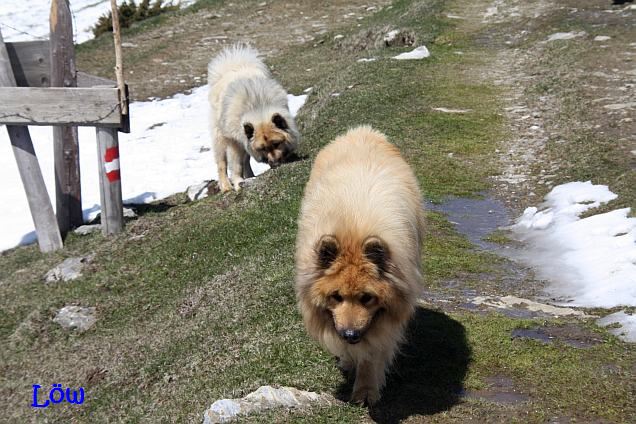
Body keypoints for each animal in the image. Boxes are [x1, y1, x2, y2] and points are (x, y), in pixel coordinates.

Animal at [296, 125, 424, 404]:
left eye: (367, 298)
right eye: (336, 296)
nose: (350, 335)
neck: (353, 234)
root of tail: (361, 131)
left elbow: (371, 355)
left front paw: (366, 390)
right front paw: (348, 362)